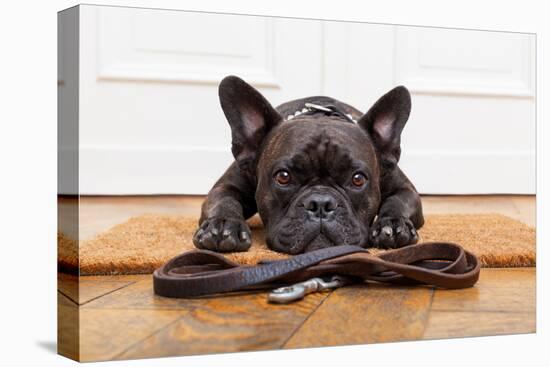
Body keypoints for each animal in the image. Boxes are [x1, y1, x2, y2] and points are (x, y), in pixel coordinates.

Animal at [192, 76, 424, 254]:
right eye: (283, 177)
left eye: (358, 179)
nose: (321, 204)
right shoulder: (225, 187)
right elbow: (225, 201)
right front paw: (223, 225)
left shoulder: (406, 189)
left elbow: (397, 201)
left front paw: (392, 224)